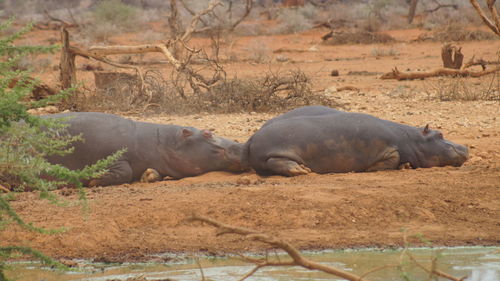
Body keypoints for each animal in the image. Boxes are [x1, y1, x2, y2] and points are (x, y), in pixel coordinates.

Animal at [43, 111, 246, 186]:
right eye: (207, 133)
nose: (241, 144)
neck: (161, 142)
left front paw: (148, 175)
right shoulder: (111, 155)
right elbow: (124, 171)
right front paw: (93, 179)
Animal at [242, 107, 468, 175]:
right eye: (440, 134)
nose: (465, 146)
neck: (411, 139)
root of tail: (251, 138)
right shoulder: (387, 149)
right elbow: (393, 157)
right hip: (272, 152)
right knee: (275, 162)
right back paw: (301, 171)